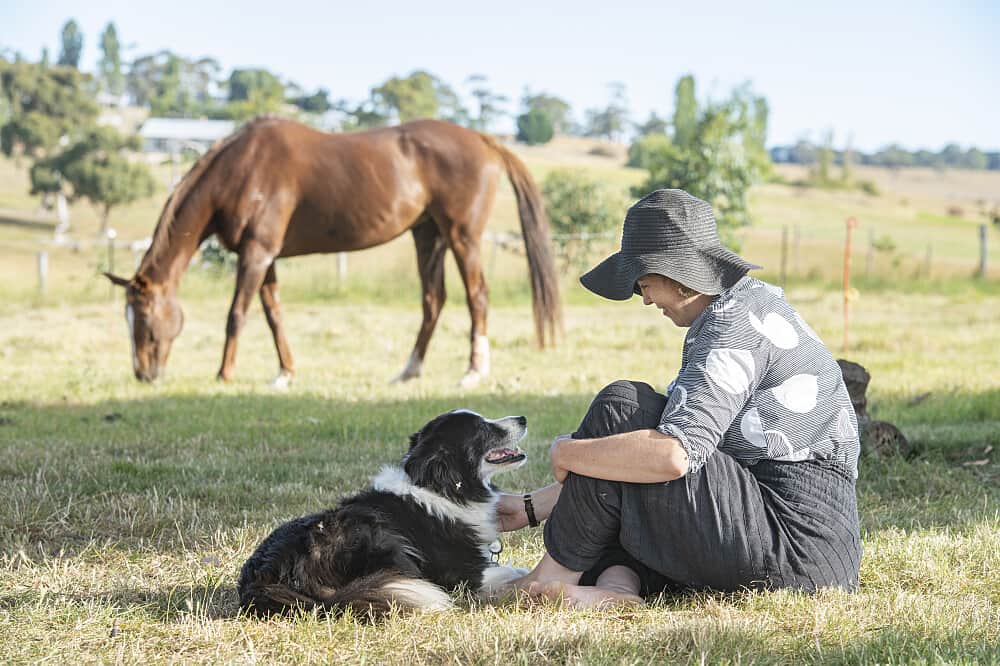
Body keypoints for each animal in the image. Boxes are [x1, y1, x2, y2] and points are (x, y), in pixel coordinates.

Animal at [104, 117, 561, 387]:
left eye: (145, 321)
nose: (143, 374)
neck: (241, 169)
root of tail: (483, 140)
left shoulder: (255, 254)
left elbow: (238, 314)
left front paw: (225, 373)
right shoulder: (266, 258)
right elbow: (274, 315)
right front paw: (285, 373)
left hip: (462, 235)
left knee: (476, 296)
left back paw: (473, 371)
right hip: (427, 235)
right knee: (434, 300)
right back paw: (409, 371)